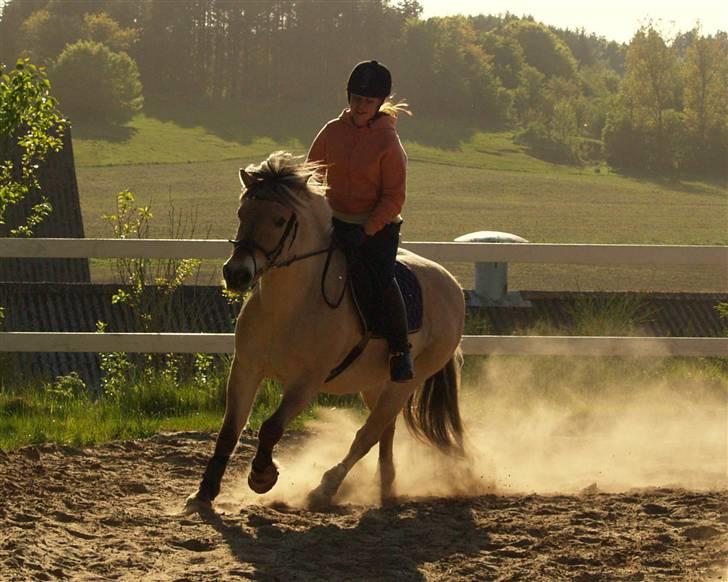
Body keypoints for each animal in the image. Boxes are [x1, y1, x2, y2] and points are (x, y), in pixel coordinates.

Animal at [185, 152, 464, 512]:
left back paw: (326, 487)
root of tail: (452, 284)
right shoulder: (246, 369)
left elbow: (271, 427)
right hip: (375, 383)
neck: (289, 306)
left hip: (405, 382)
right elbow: (229, 430)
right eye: (241, 213)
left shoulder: (307, 381)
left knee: (367, 434)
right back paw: (386, 486)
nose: (236, 274)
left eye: (279, 220)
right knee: (384, 430)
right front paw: (204, 492)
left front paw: (263, 477)